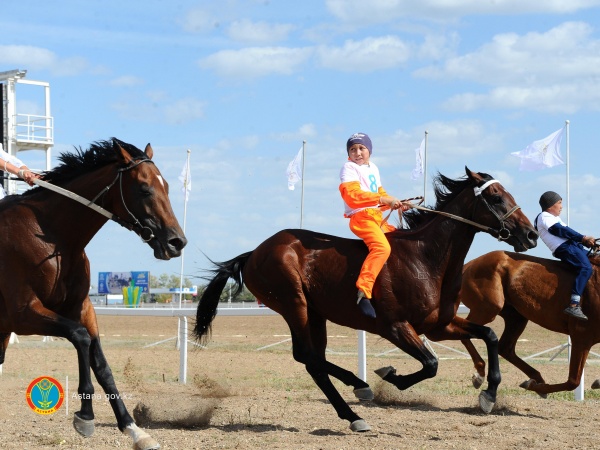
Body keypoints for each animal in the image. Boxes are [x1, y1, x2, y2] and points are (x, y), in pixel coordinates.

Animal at [0, 138, 186, 450]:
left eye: (167, 187)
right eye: (144, 188)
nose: (177, 242)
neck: (55, 236)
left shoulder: (82, 307)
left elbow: (101, 364)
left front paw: (135, 429)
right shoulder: (23, 314)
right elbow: (81, 337)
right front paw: (85, 416)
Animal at [196, 167, 540, 430]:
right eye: (496, 196)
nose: (531, 234)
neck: (425, 258)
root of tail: (254, 252)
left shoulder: (438, 326)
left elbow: (490, 335)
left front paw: (489, 394)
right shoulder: (394, 326)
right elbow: (430, 364)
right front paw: (391, 376)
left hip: (316, 313)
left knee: (311, 358)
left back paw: (356, 396)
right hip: (295, 304)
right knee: (308, 357)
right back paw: (355, 403)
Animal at [460, 251, 600, 400]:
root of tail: (468, 265)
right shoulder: (582, 336)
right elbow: (573, 381)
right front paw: (534, 386)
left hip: (516, 317)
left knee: (505, 348)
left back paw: (536, 378)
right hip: (488, 308)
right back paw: (480, 374)